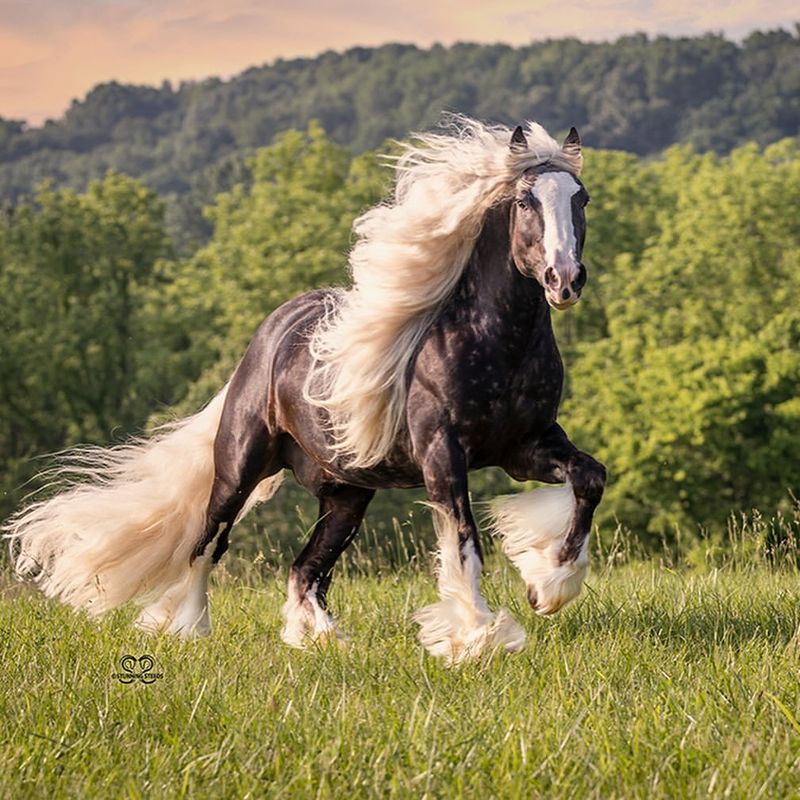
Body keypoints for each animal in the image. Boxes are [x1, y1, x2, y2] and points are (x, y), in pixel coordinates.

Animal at [3, 115, 608, 664]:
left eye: (581, 199)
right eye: (526, 201)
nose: (564, 280)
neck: (494, 340)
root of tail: (267, 336)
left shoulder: (525, 446)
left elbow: (589, 478)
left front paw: (548, 588)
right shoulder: (443, 452)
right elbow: (463, 538)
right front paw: (479, 637)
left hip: (347, 492)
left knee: (304, 568)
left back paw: (319, 640)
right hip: (241, 465)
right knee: (209, 541)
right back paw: (188, 628)